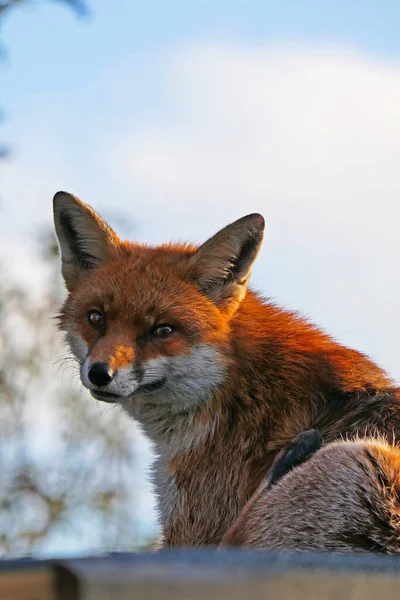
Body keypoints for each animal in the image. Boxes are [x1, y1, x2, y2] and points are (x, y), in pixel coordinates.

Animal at [54, 192, 400, 552]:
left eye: (163, 330)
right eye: (96, 318)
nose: (100, 373)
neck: (238, 390)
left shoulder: (195, 529)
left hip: (366, 462)